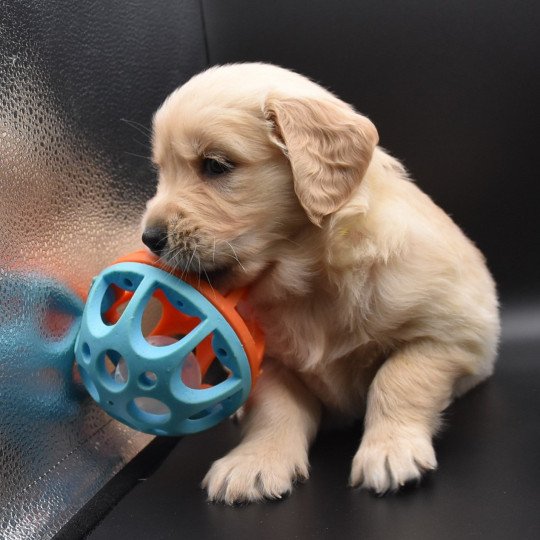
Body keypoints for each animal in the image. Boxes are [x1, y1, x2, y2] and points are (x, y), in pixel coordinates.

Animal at [141, 64, 500, 506]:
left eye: (215, 165)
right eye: (161, 170)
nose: (149, 238)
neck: (305, 283)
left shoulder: (452, 334)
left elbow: (398, 378)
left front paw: (389, 451)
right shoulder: (270, 361)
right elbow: (274, 408)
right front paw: (255, 461)